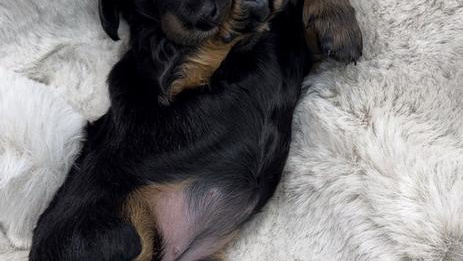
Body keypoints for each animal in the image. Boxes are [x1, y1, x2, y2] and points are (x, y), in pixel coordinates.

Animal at [29, 0, 362, 258]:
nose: (206, 16)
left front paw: (335, 17)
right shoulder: (167, 90)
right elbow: (215, 51)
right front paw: (241, 17)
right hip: (112, 234)